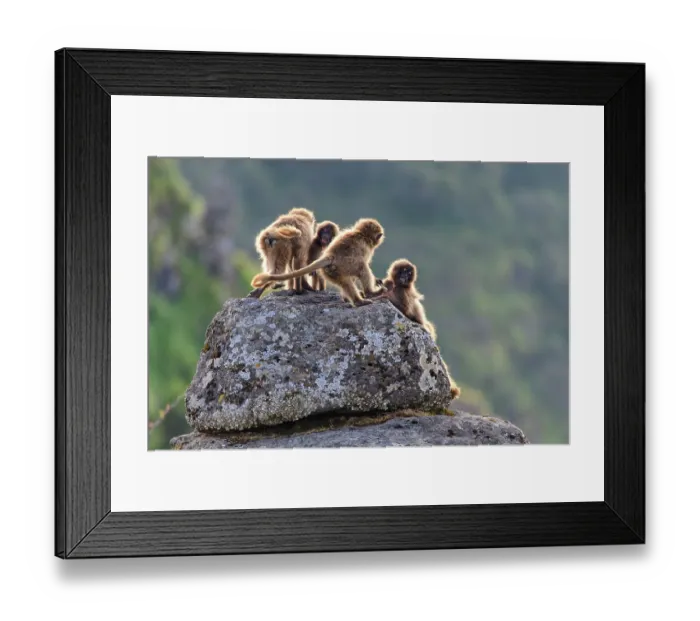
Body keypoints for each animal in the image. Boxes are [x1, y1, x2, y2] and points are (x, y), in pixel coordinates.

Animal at [251, 218, 385, 307]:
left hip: (330, 271)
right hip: (337, 268)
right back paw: (365, 297)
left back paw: (351, 299)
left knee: (345, 282)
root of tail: (329, 256)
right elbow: (361, 265)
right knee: (362, 268)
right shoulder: (365, 248)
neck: (361, 234)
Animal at [374, 259, 461, 400]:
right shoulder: (391, 283)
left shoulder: (403, 291)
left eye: (409, 273)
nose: (405, 277)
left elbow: (404, 309)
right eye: (403, 271)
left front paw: (384, 296)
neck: (397, 285)